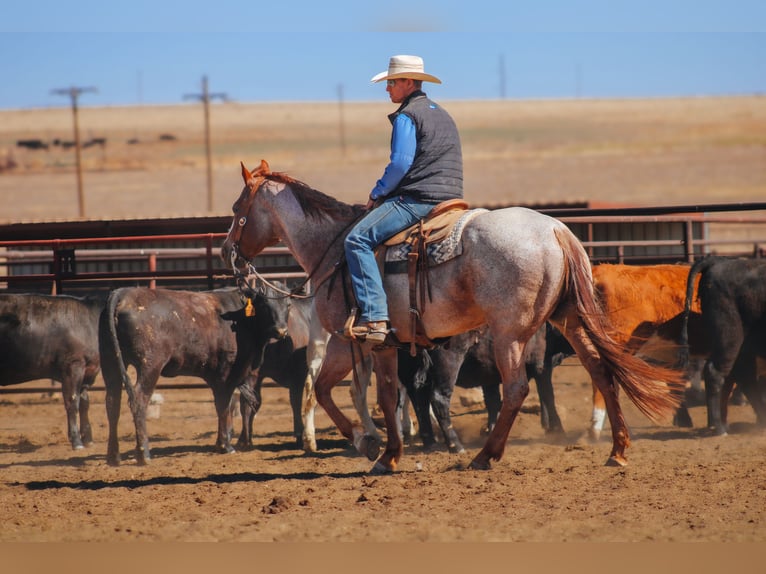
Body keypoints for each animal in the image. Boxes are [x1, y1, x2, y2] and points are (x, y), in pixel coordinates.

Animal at [221, 160, 685, 473]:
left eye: (236, 206)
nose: (228, 252)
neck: (333, 249)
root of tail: (556, 229)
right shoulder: (355, 341)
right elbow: (335, 390)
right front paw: (374, 445)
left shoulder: (361, 340)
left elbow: (374, 395)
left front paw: (380, 450)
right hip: (567, 320)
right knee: (601, 371)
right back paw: (617, 450)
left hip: (510, 332)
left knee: (516, 388)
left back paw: (485, 455)